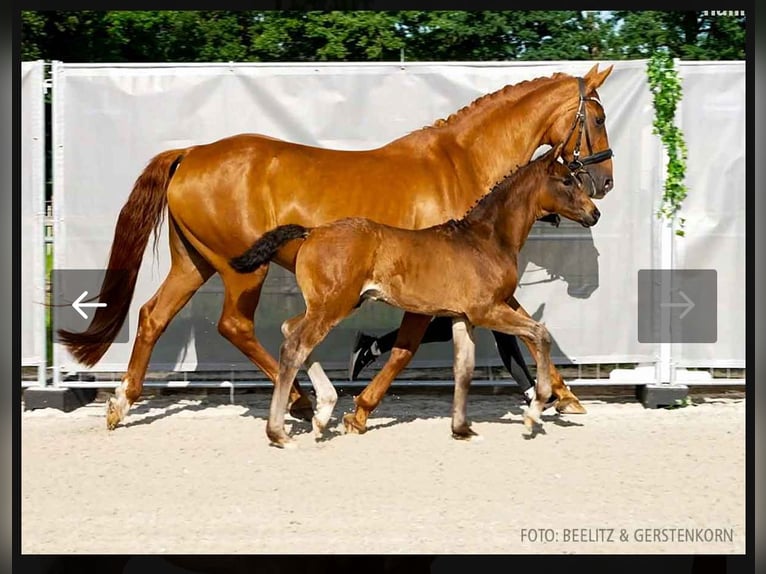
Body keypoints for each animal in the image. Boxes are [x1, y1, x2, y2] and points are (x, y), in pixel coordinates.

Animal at [231, 145, 604, 450]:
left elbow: (464, 368)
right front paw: (535, 410)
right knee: (295, 346)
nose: (595, 213)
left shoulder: (462, 318)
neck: (485, 239)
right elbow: (539, 334)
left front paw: (462, 429)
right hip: (334, 305)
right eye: (567, 181)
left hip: (332, 304)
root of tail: (312, 232)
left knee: (289, 329)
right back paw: (280, 433)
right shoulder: (486, 311)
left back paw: (323, 411)